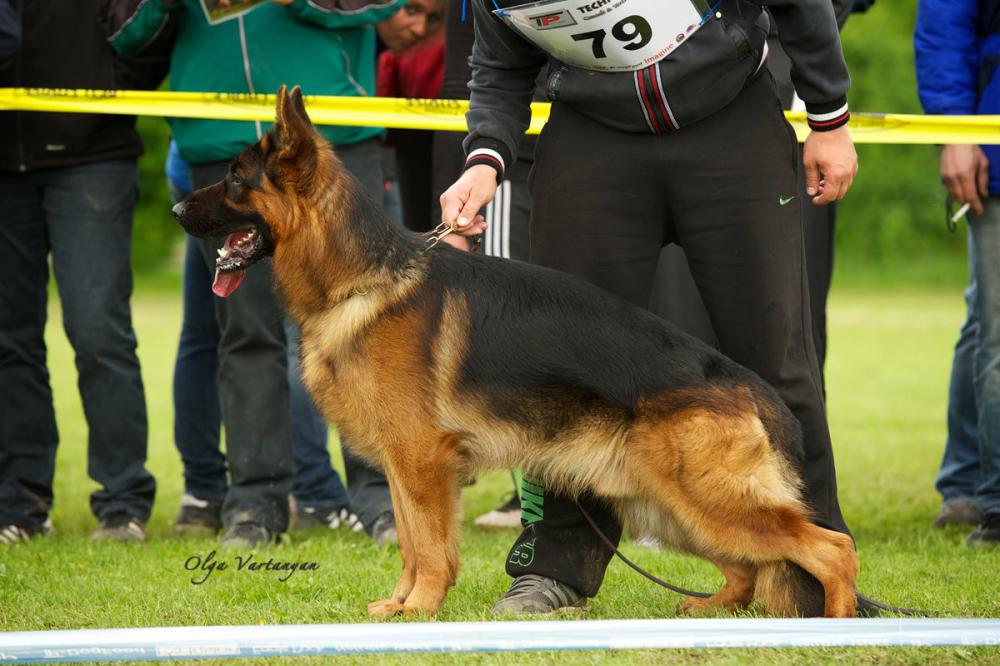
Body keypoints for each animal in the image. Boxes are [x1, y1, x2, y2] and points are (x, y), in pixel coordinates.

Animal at [173, 86, 859, 619]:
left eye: (234, 179)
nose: (178, 207)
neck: (361, 278)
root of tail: (752, 389)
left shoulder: (421, 463)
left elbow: (429, 547)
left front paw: (419, 609)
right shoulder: (404, 467)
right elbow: (411, 543)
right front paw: (399, 605)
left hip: (704, 501)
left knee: (830, 549)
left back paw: (837, 625)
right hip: (664, 506)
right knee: (751, 568)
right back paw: (711, 609)